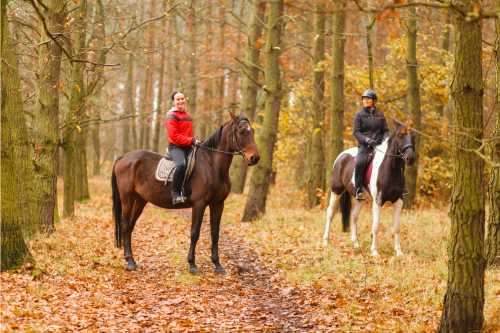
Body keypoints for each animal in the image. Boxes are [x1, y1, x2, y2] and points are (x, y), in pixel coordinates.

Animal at [111, 111, 260, 272]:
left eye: (253, 131)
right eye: (241, 131)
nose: (255, 158)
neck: (212, 165)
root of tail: (123, 157)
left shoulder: (218, 204)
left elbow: (215, 234)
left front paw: (217, 265)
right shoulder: (199, 204)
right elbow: (195, 233)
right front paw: (192, 265)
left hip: (140, 200)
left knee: (130, 226)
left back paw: (131, 259)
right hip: (127, 199)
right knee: (125, 225)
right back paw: (130, 262)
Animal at [322, 118, 416, 255]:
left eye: (413, 136)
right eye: (400, 136)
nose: (411, 158)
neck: (390, 169)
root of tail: (342, 156)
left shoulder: (398, 200)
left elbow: (397, 227)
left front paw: (398, 252)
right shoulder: (378, 200)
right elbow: (376, 226)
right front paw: (374, 251)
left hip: (361, 198)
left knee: (354, 216)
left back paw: (356, 244)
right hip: (336, 190)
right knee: (330, 213)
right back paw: (326, 242)